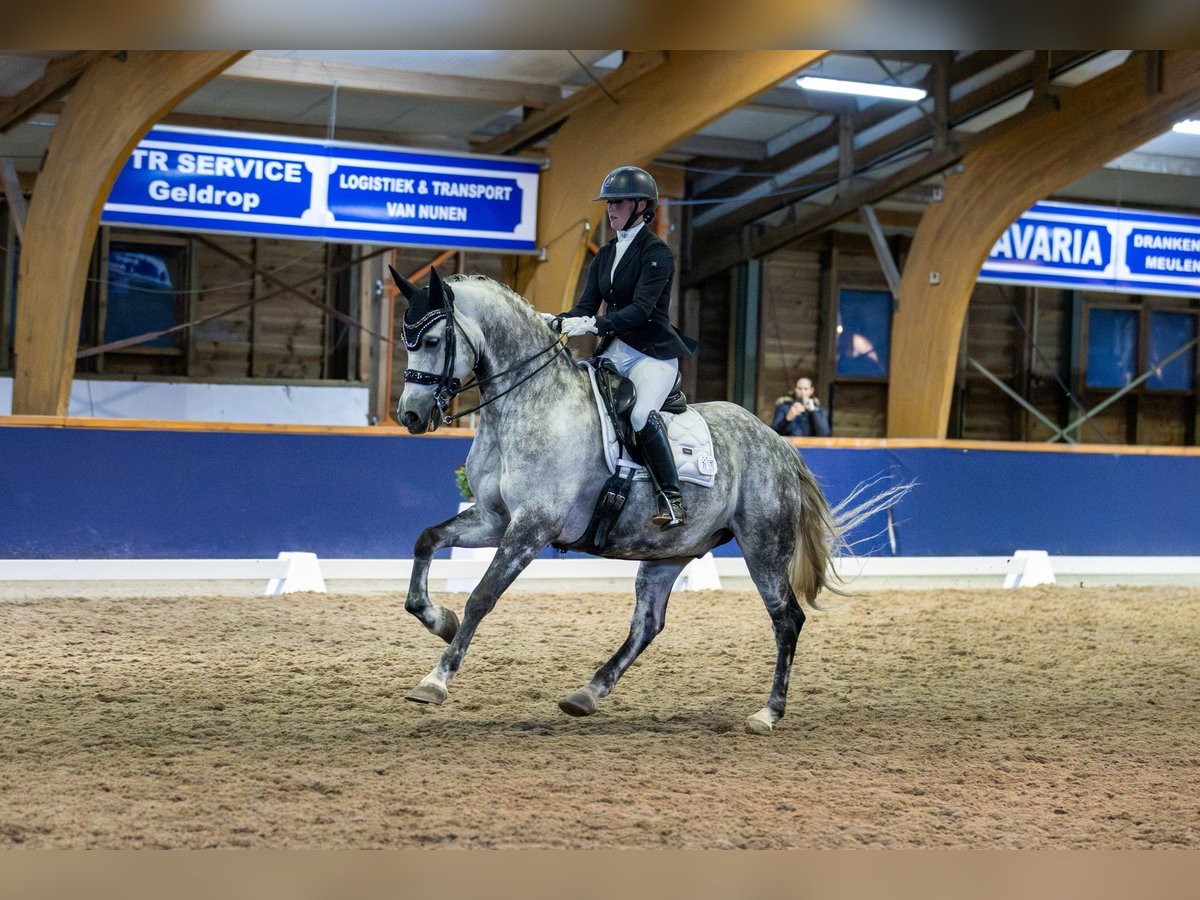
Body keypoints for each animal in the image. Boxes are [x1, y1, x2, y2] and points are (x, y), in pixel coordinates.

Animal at [392, 267, 902, 734]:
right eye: (406, 340)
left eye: (433, 339)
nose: (410, 415)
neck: (529, 404)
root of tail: (778, 442)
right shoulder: (495, 519)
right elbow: (426, 540)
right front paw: (439, 619)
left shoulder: (531, 528)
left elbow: (482, 596)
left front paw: (435, 680)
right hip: (670, 550)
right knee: (648, 623)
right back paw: (587, 693)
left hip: (764, 546)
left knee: (787, 619)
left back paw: (768, 712)